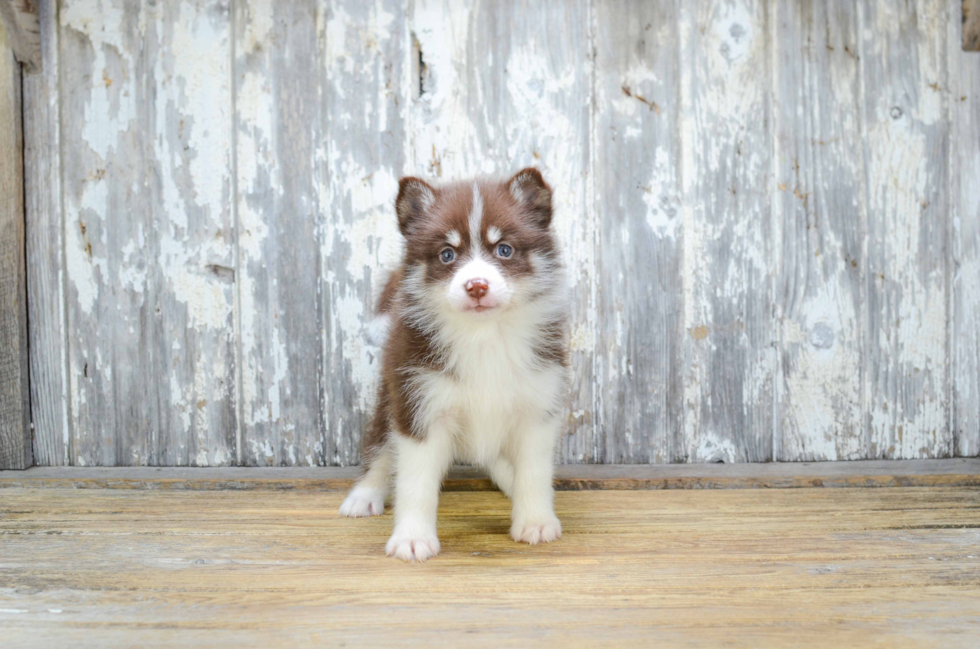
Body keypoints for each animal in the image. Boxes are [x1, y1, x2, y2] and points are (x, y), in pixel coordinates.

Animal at [338, 168, 572, 560]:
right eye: (447, 254)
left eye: (504, 249)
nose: (476, 285)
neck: (483, 336)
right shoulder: (419, 403)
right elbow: (415, 481)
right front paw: (412, 538)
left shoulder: (537, 403)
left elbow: (534, 471)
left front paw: (536, 521)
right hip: (391, 397)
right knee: (380, 447)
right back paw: (364, 494)